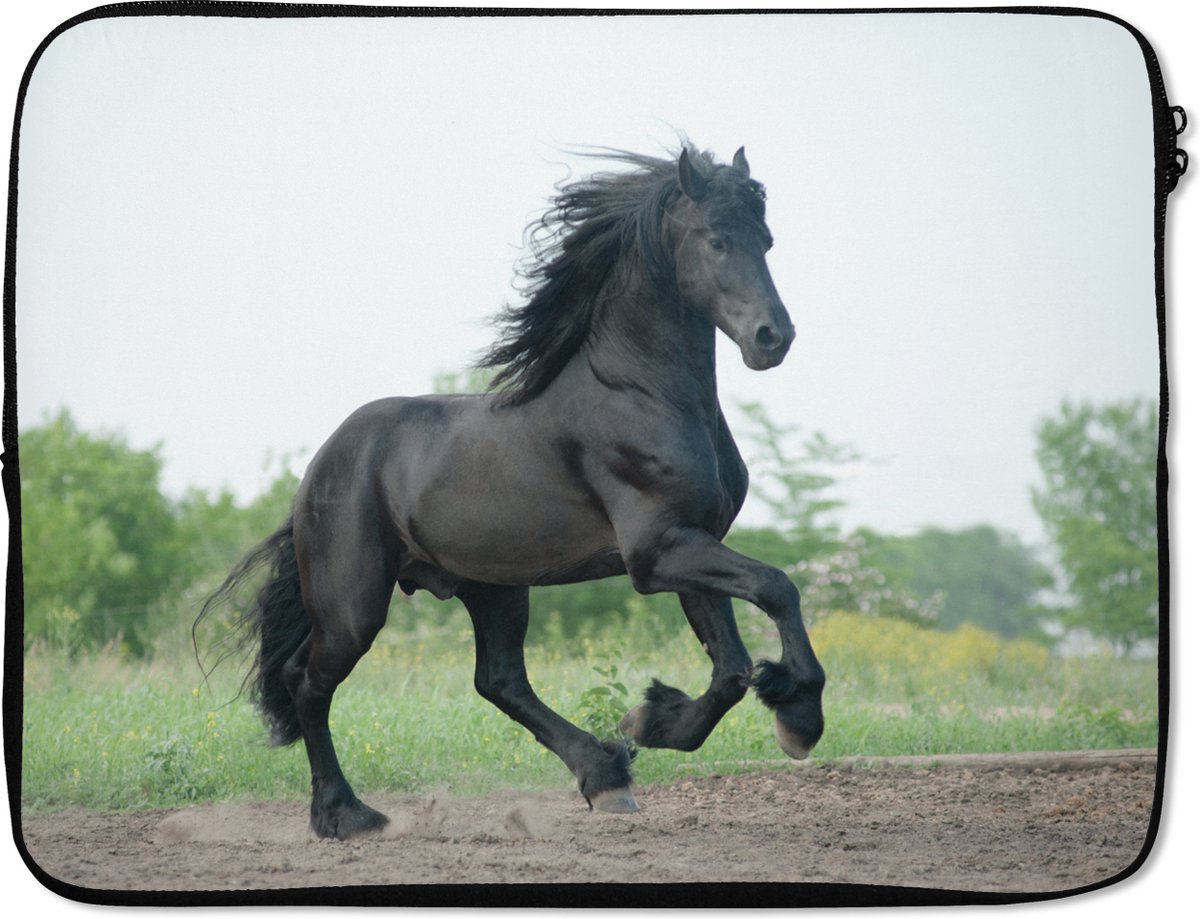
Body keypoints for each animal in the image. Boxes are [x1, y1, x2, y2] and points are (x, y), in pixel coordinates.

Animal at [196, 143, 826, 839]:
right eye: (716, 239)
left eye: (766, 240)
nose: (774, 338)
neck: (639, 394)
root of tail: (318, 467)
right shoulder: (657, 552)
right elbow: (777, 588)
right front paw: (799, 719)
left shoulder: (690, 543)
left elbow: (731, 667)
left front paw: (651, 720)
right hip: (354, 604)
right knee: (309, 681)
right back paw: (346, 815)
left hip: (492, 587)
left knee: (498, 681)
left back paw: (604, 773)